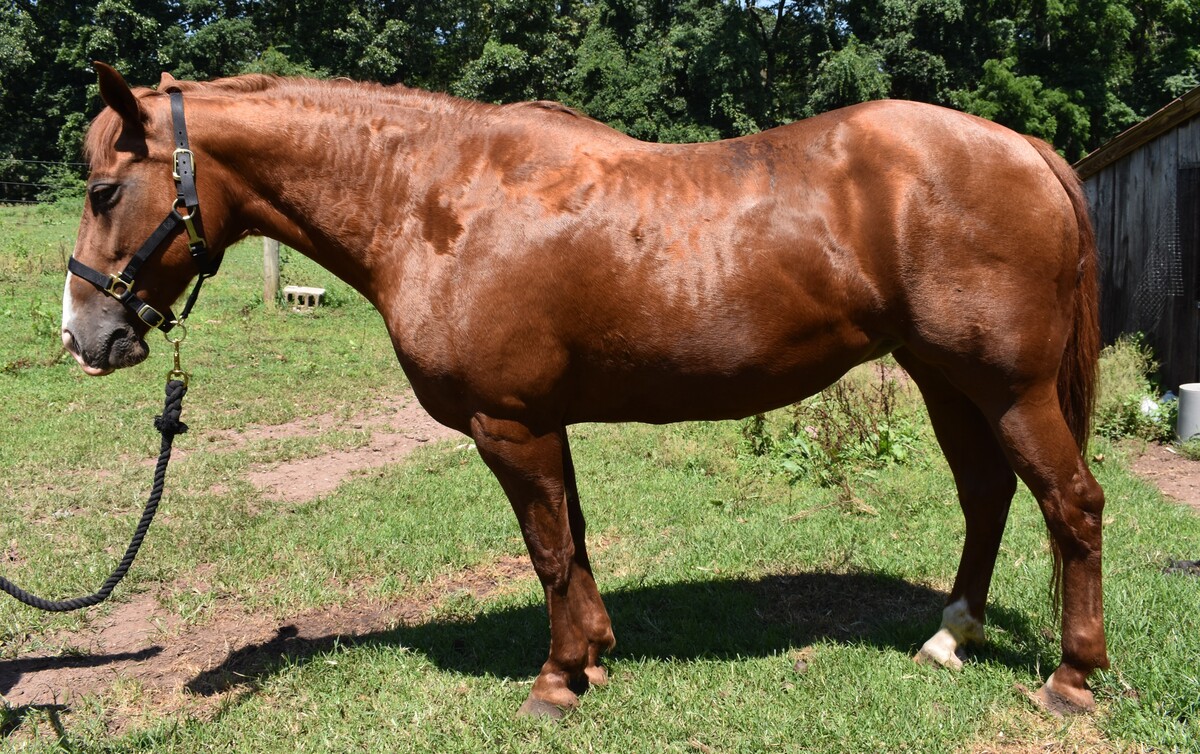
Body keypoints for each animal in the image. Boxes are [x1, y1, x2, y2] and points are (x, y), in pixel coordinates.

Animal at [63, 62, 1107, 718]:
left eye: (107, 190)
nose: (84, 336)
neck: (435, 198)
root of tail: (1021, 146)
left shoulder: (508, 424)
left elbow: (548, 548)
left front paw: (558, 681)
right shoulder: (541, 422)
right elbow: (574, 539)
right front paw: (596, 655)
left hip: (1008, 389)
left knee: (1072, 504)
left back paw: (1072, 679)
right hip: (945, 381)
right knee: (989, 497)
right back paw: (951, 637)